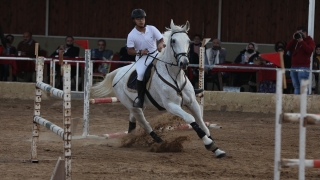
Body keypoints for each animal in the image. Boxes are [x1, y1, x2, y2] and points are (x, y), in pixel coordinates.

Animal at [90, 19, 225, 158]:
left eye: (188, 41)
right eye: (173, 41)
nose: (184, 63)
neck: (175, 76)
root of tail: (118, 72)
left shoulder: (192, 102)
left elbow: (202, 124)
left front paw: (216, 148)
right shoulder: (171, 106)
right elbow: (191, 119)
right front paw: (209, 144)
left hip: (137, 104)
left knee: (133, 118)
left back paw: (131, 138)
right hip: (130, 104)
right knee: (144, 123)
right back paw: (159, 141)